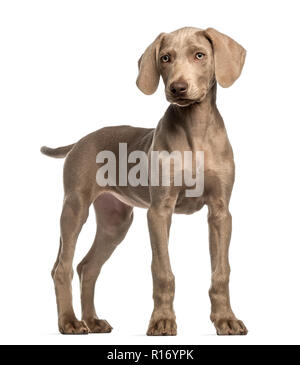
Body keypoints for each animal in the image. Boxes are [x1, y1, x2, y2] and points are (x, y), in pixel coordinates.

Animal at [41, 27, 247, 336]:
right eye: (165, 58)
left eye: (200, 55)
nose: (177, 88)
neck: (196, 130)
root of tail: (80, 140)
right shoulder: (159, 210)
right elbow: (162, 271)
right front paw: (162, 321)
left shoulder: (221, 211)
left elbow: (221, 271)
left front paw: (226, 319)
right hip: (75, 208)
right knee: (62, 267)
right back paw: (70, 322)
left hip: (115, 222)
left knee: (87, 267)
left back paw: (92, 320)